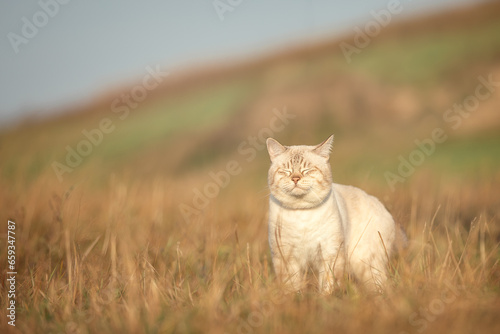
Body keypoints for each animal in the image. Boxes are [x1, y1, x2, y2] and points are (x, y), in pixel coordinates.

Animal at [268, 134, 404, 294]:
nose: (295, 179)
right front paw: (295, 297)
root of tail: (385, 210)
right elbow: (291, 287)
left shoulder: (330, 252)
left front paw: (325, 298)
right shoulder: (285, 255)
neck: (302, 214)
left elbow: (328, 285)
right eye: (286, 171)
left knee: (381, 285)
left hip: (366, 263)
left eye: (307, 170)